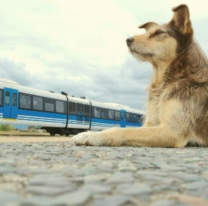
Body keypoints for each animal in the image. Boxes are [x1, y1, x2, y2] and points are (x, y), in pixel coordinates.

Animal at [72, 4, 208, 148]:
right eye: (146, 33)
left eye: (158, 33)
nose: (127, 40)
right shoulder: (150, 123)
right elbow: (129, 128)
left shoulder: (173, 130)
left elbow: (123, 130)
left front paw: (92, 135)